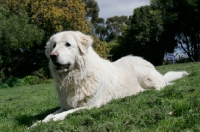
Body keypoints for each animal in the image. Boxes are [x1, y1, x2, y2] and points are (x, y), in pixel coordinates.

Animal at [30, 30, 188, 127]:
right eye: (53, 46)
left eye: (68, 44)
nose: (53, 56)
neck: (77, 78)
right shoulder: (65, 105)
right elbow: (49, 115)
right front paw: (37, 123)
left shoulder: (90, 105)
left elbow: (66, 113)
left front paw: (54, 119)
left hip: (144, 74)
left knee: (160, 86)